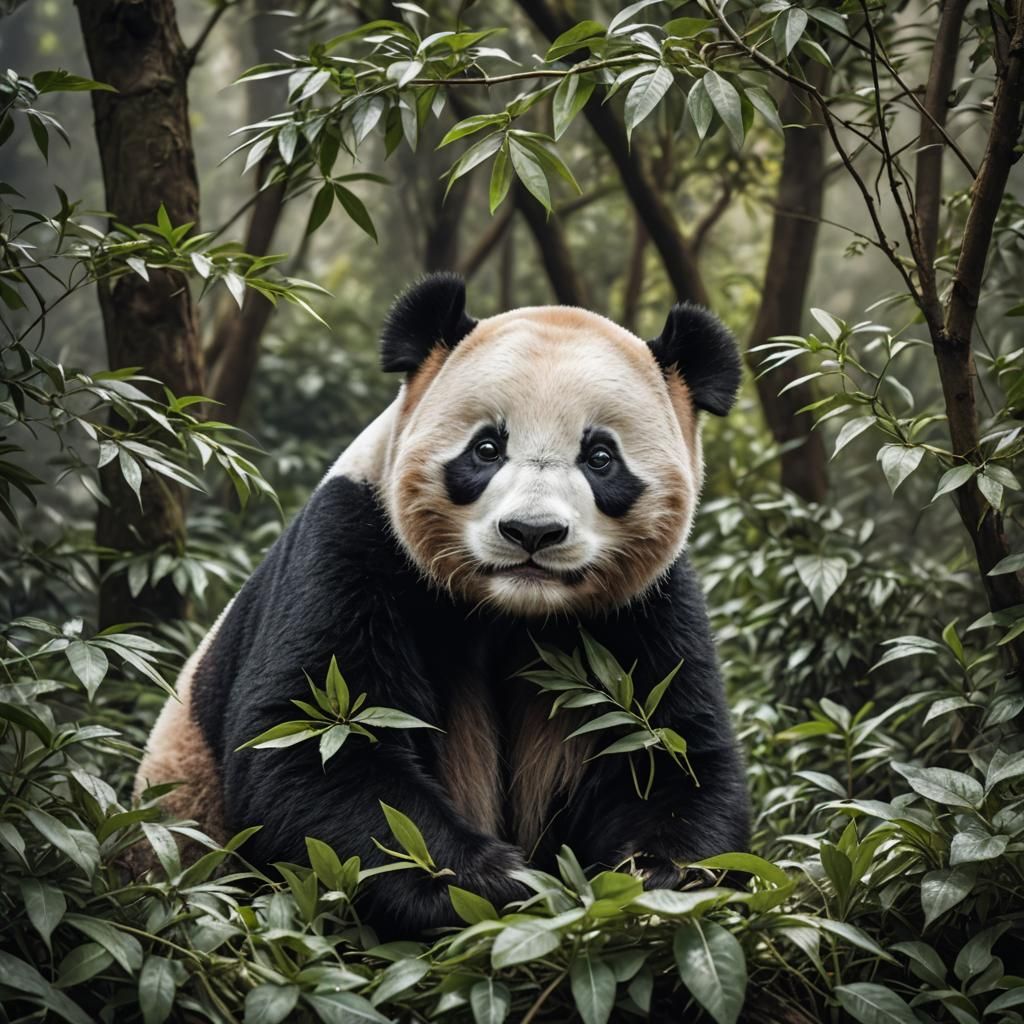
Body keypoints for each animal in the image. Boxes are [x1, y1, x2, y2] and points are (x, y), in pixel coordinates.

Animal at [135, 273, 750, 935]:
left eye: (600, 457)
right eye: (486, 448)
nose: (532, 532)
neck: (514, 610)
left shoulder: (646, 606)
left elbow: (670, 751)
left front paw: (651, 880)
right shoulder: (353, 542)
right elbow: (313, 742)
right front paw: (496, 881)